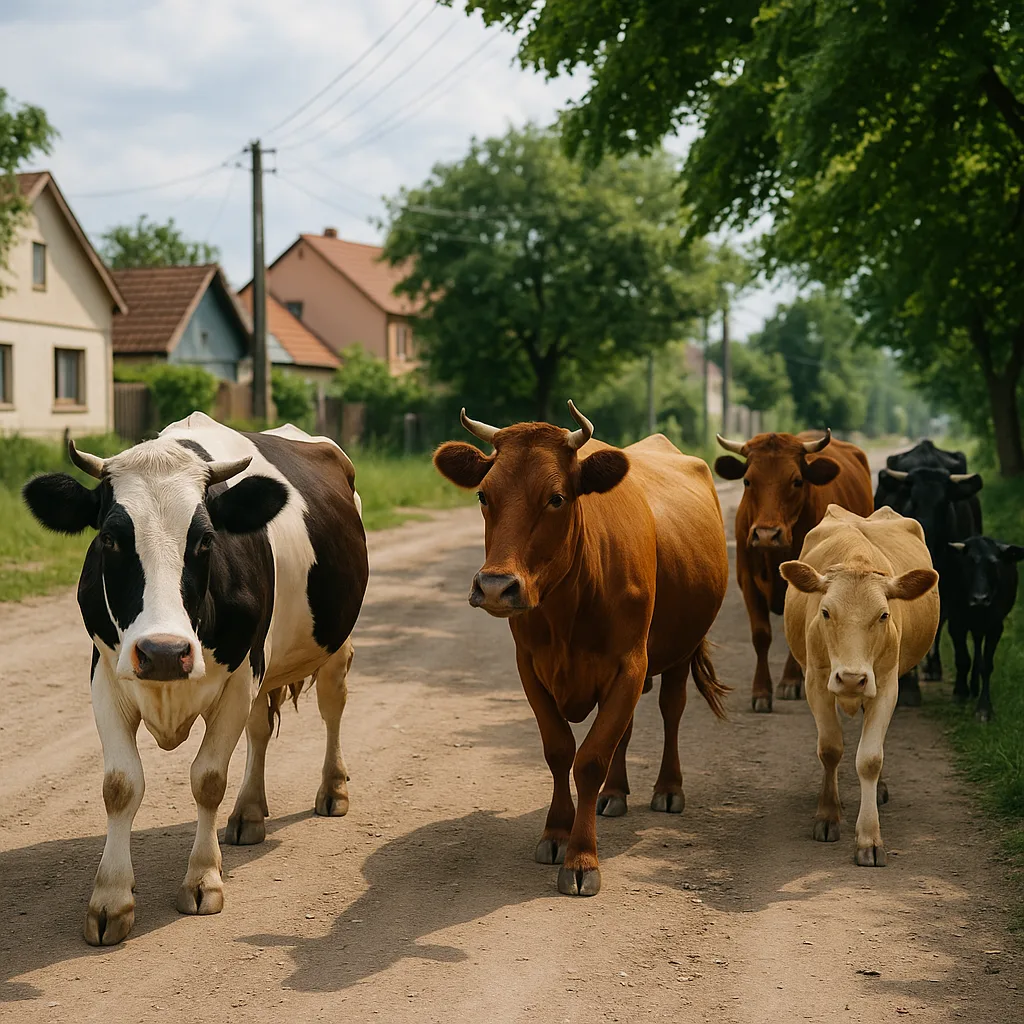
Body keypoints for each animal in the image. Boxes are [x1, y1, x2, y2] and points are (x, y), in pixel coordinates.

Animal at [21, 412, 368, 945]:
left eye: (205, 539)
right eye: (110, 538)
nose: (164, 652)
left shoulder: (240, 675)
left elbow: (208, 779)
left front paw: (203, 879)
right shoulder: (106, 674)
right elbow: (120, 785)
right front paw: (110, 899)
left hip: (334, 642)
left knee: (332, 708)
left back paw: (333, 790)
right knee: (260, 731)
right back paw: (249, 812)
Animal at [433, 402, 729, 897]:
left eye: (556, 498)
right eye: (483, 496)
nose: (495, 587)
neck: (566, 611)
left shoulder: (630, 663)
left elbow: (589, 759)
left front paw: (581, 858)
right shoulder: (530, 667)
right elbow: (559, 751)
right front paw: (556, 832)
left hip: (680, 650)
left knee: (671, 710)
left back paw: (668, 788)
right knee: (626, 731)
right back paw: (615, 794)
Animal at [714, 430, 874, 712]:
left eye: (797, 481)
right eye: (747, 481)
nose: (766, 534)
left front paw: (790, 682)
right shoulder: (747, 580)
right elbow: (761, 635)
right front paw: (761, 691)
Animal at [780, 505, 939, 866]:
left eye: (883, 615)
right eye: (826, 612)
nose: (852, 678)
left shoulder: (887, 684)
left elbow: (869, 758)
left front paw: (869, 838)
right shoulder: (816, 681)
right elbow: (830, 748)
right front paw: (827, 814)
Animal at [945, 536, 1023, 721]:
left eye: (994, 563)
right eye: (969, 562)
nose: (980, 599)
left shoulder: (995, 627)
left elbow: (986, 665)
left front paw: (984, 709)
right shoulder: (956, 622)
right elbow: (962, 659)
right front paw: (960, 693)